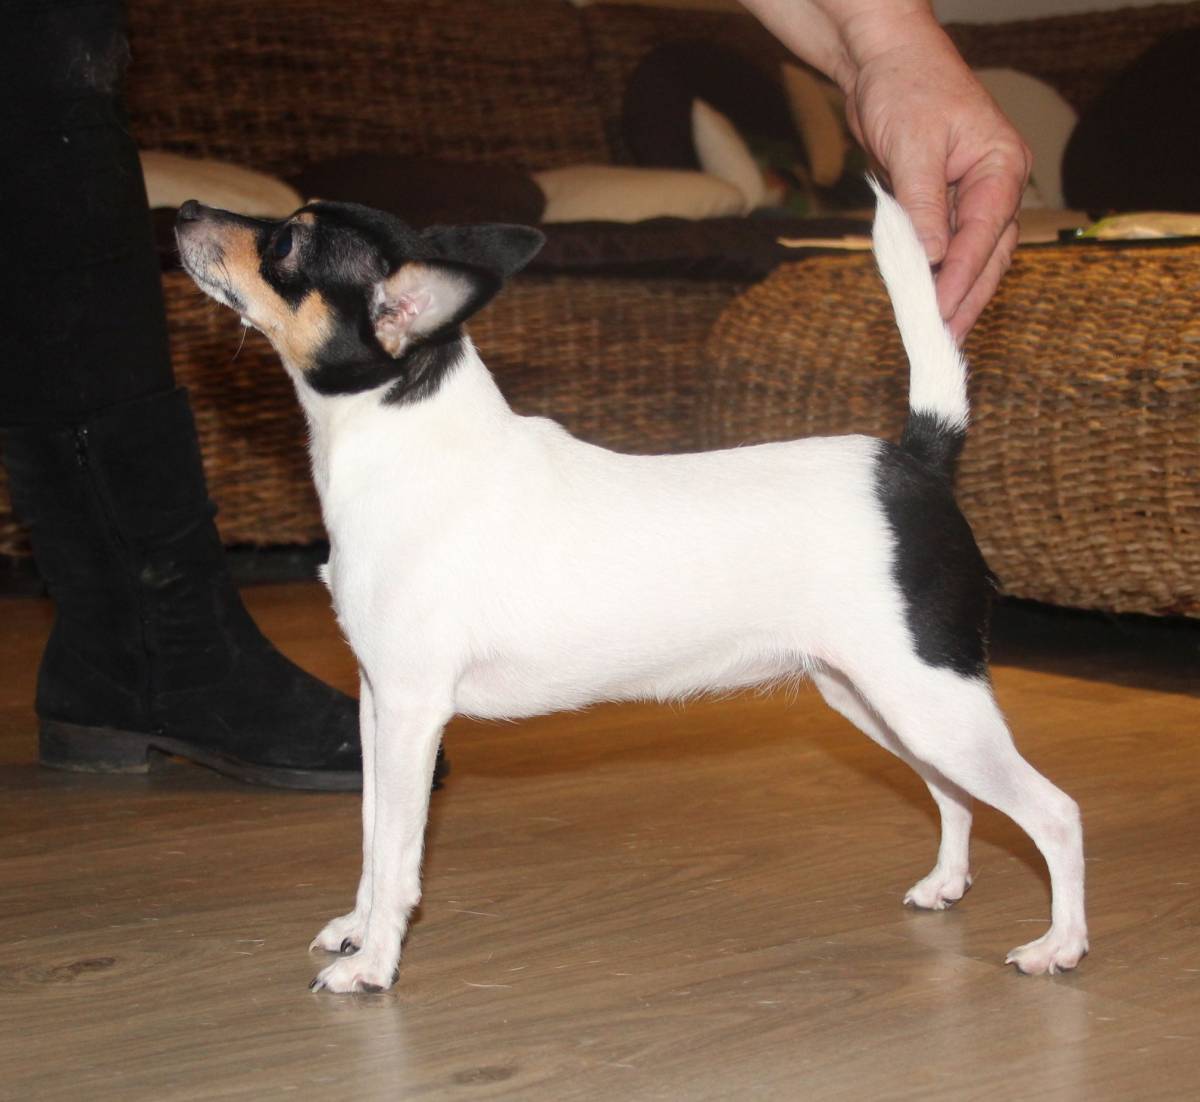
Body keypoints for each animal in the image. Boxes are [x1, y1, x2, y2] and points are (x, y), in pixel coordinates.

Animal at [176, 181, 1087, 994]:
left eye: (284, 247)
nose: (183, 209)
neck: (407, 440)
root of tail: (917, 462)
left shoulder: (409, 712)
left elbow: (397, 851)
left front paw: (374, 964)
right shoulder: (375, 703)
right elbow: (371, 836)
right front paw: (359, 930)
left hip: (931, 698)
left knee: (1053, 812)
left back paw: (1060, 945)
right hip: (880, 699)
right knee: (955, 794)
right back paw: (947, 885)